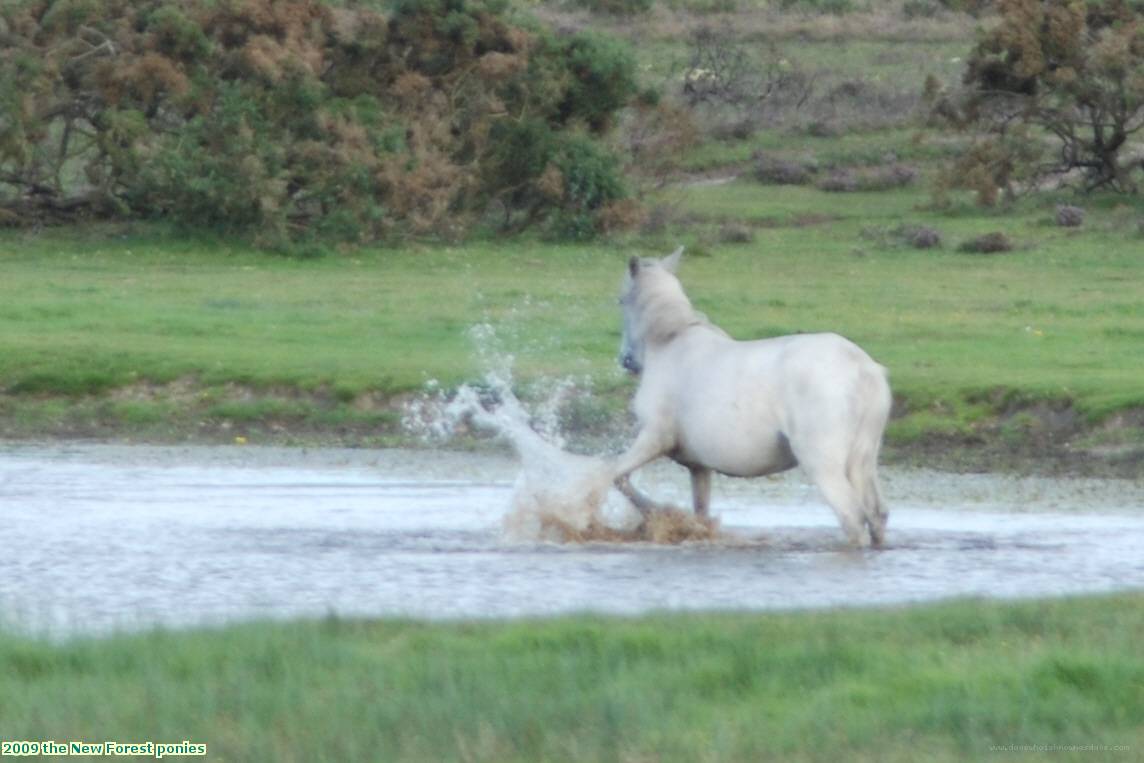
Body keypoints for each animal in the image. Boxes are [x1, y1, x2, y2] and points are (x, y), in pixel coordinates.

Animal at [608, 248, 892, 546]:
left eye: (620, 300)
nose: (626, 360)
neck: (669, 343)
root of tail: (862, 367)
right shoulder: (699, 466)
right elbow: (701, 511)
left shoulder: (654, 438)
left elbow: (615, 476)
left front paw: (660, 512)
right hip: (863, 462)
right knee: (877, 515)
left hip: (823, 464)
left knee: (852, 516)